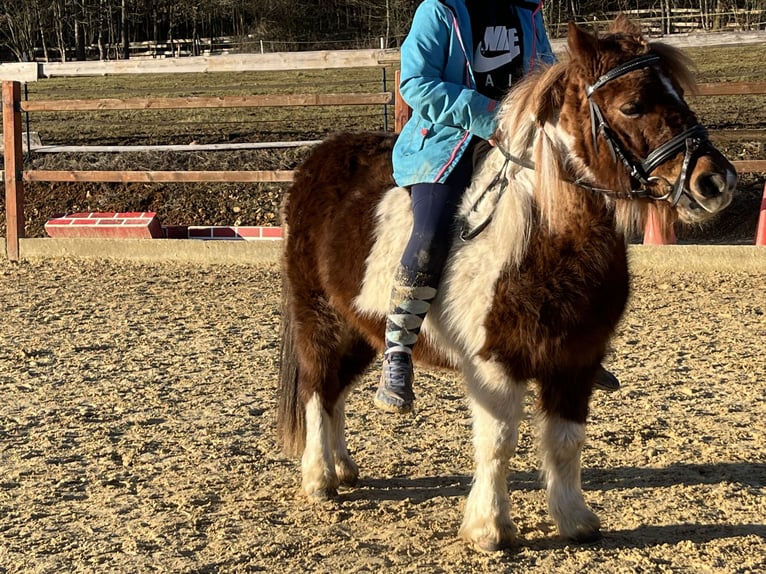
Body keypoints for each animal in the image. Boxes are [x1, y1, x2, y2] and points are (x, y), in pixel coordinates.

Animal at [276, 18, 736, 552]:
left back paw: (344, 467)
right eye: (632, 106)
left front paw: (575, 519)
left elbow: (566, 441)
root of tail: (315, 162)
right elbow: (497, 441)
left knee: (336, 393)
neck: (545, 240)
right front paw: (490, 527)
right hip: (320, 318)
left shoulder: (576, 361)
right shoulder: (496, 363)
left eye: (677, 93)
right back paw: (319, 477)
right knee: (317, 389)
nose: (716, 182)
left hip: (358, 329)